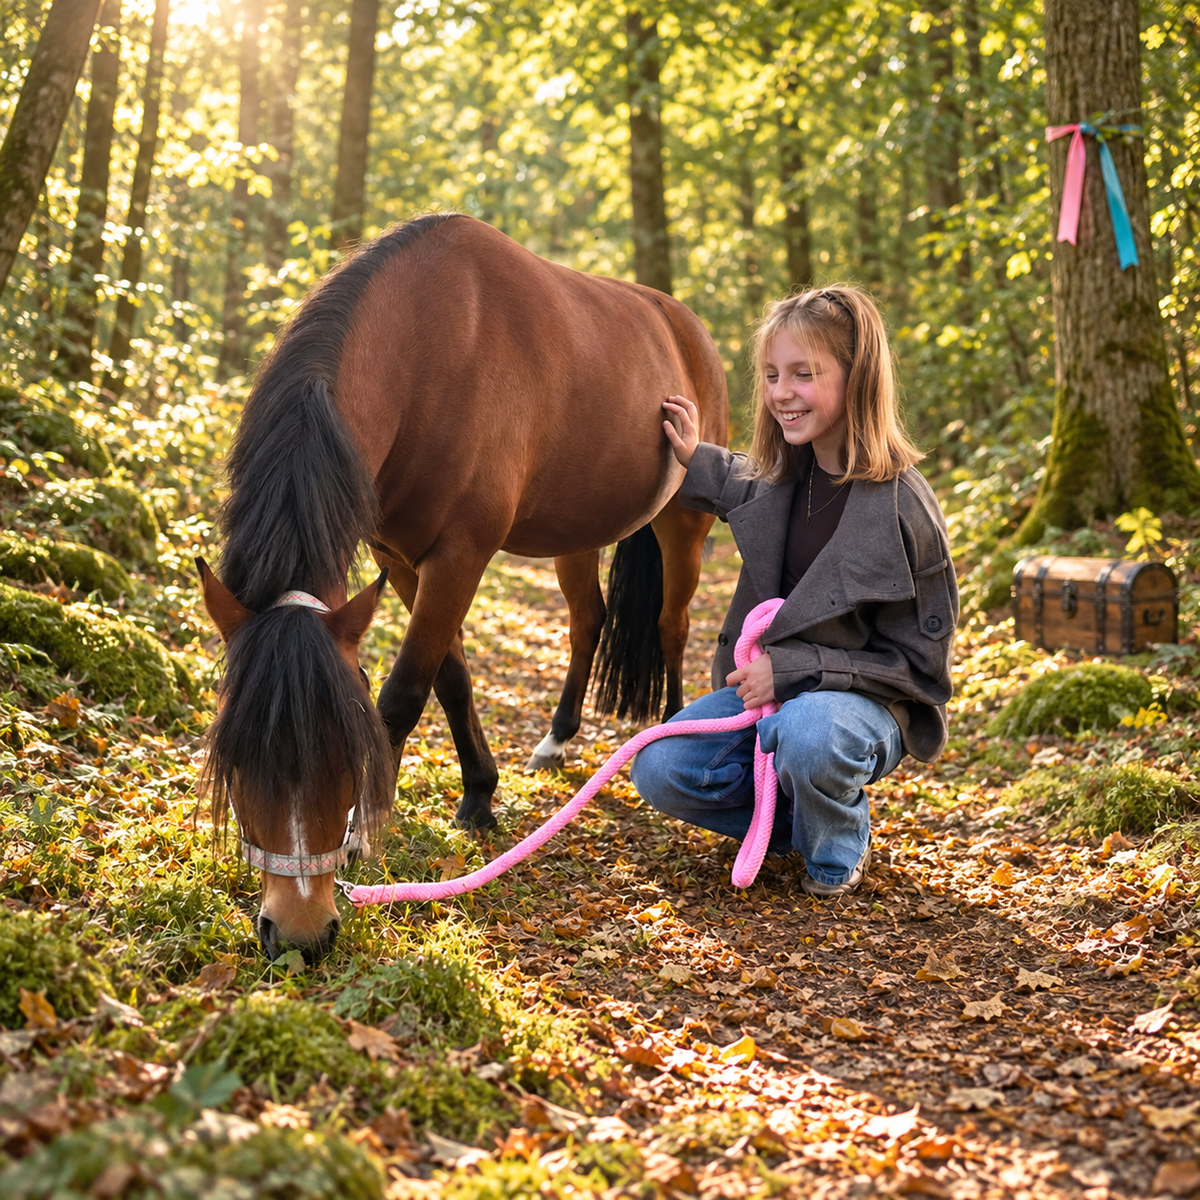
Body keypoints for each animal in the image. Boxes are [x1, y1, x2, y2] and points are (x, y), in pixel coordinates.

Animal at [198, 212, 728, 959]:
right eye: (239, 758)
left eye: (343, 758)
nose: (298, 934)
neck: (427, 351)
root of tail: (687, 328)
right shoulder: (397, 555)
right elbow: (450, 676)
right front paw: (479, 794)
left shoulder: (461, 554)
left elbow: (402, 694)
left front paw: (363, 836)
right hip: (577, 534)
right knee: (588, 620)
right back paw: (556, 740)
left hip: (685, 524)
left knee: (671, 626)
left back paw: (671, 727)